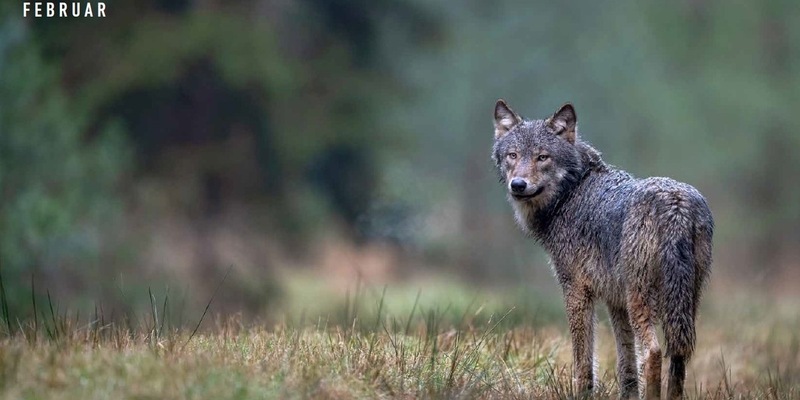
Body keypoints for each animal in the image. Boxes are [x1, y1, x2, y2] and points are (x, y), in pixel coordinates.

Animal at [491, 100, 713, 399]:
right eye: (513, 155)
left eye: (542, 157)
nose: (518, 185)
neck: (572, 192)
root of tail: (676, 204)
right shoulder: (614, 301)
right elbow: (626, 364)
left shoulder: (576, 291)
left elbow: (583, 359)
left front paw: (583, 394)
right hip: (683, 304)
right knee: (678, 356)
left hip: (641, 300)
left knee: (653, 352)